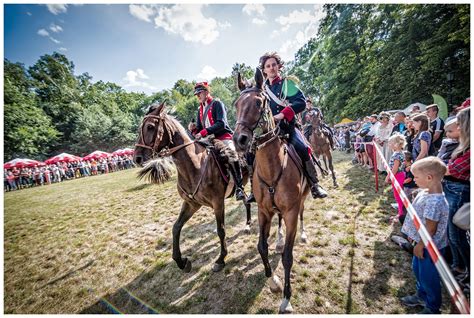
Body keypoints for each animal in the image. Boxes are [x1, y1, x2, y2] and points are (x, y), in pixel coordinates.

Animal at [133, 102, 252, 274]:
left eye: (150, 127)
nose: (137, 158)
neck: (195, 165)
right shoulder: (192, 203)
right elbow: (176, 227)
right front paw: (181, 261)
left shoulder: (218, 203)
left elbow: (221, 230)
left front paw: (221, 259)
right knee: (247, 201)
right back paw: (248, 225)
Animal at [233, 69, 312, 314]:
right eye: (236, 104)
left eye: (259, 102)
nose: (239, 140)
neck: (272, 168)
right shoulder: (263, 211)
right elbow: (261, 247)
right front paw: (273, 281)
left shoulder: (291, 212)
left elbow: (287, 256)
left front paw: (286, 299)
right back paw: (278, 239)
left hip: (303, 199)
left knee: (303, 214)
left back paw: (303, 234)